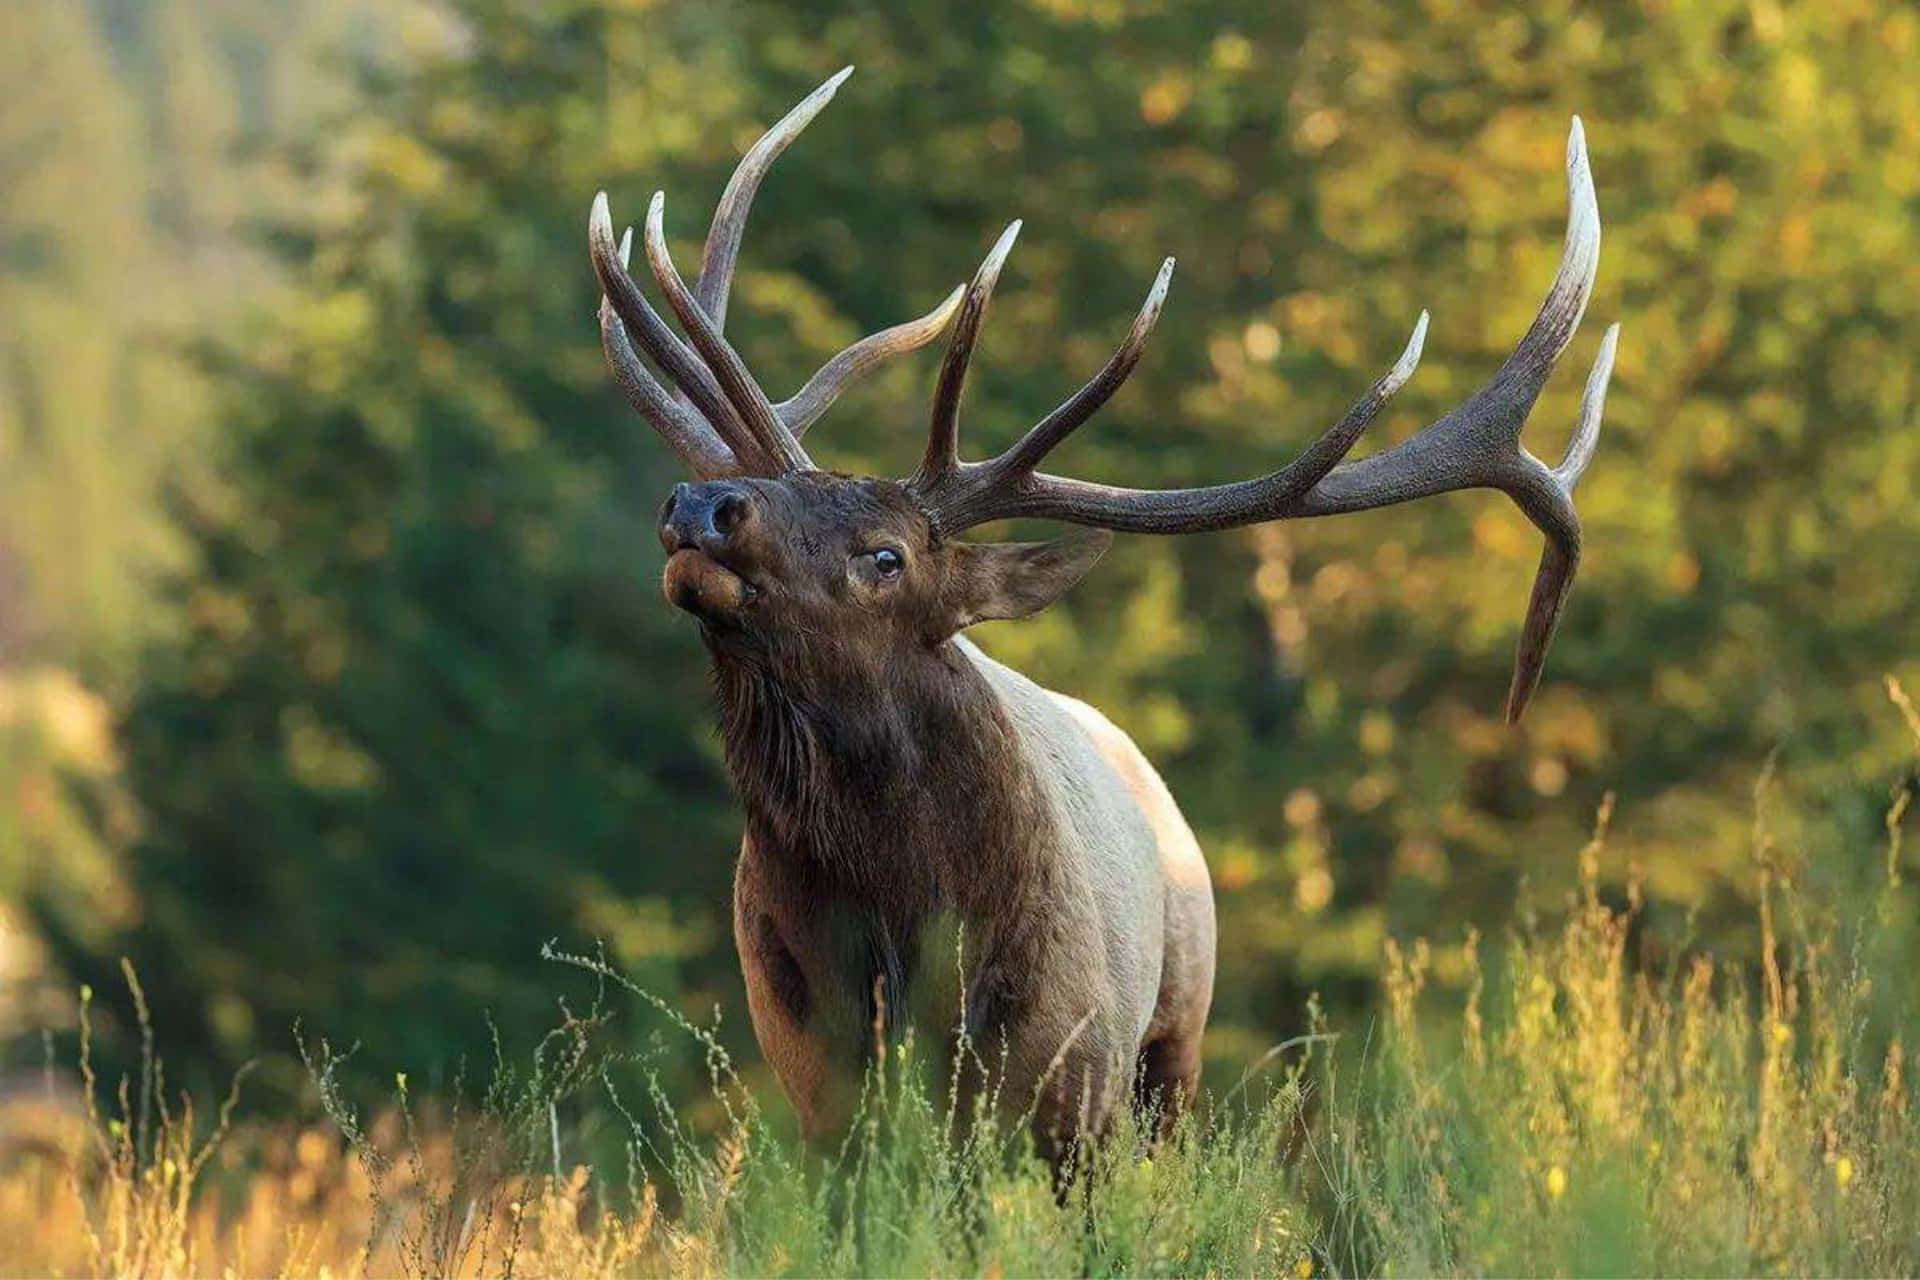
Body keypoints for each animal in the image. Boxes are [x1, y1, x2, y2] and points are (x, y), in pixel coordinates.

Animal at [585, 68, 1617, 1158]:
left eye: (886, 554)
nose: (704, 504)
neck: (905, 946)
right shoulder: (818, 1090)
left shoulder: (1073, 1084)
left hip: (1176, 1031)